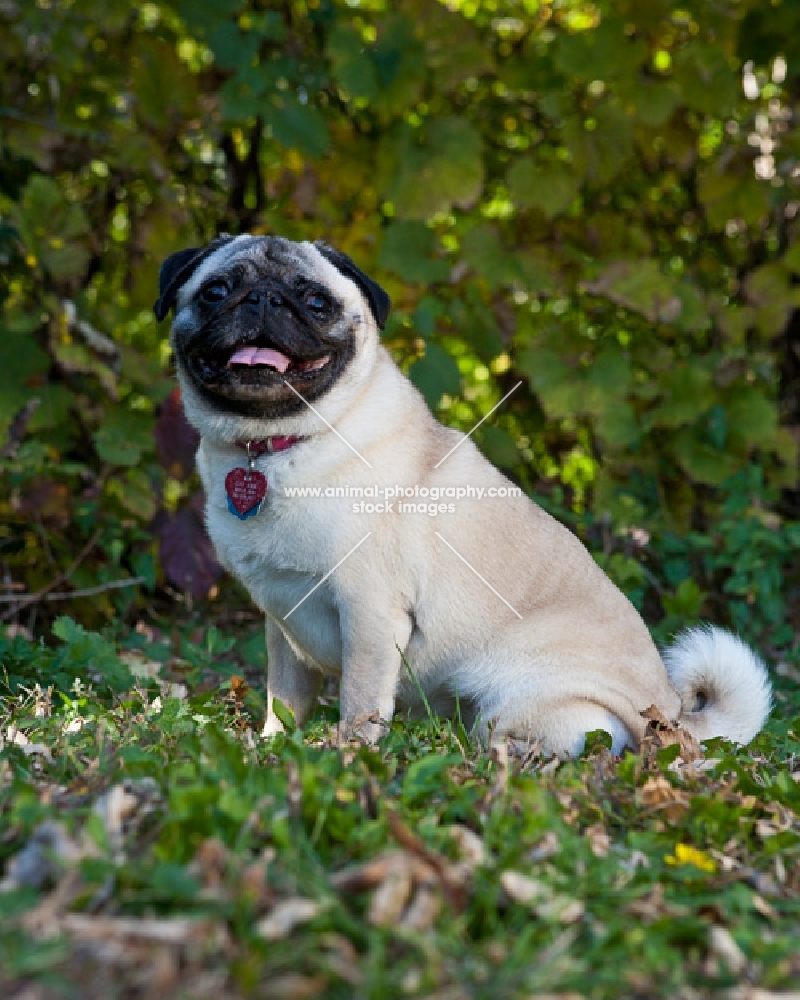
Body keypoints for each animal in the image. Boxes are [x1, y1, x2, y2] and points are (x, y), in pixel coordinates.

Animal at [153, 232, 772, 752]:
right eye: (216, 291)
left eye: (315, 300)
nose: (263, 300)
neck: (272, 444)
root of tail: (673, 722)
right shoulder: (283, 621)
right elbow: (284, 698)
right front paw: (274, 745)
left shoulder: (370, 612)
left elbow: (358, 699)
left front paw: (348, 755)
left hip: (522, 699)